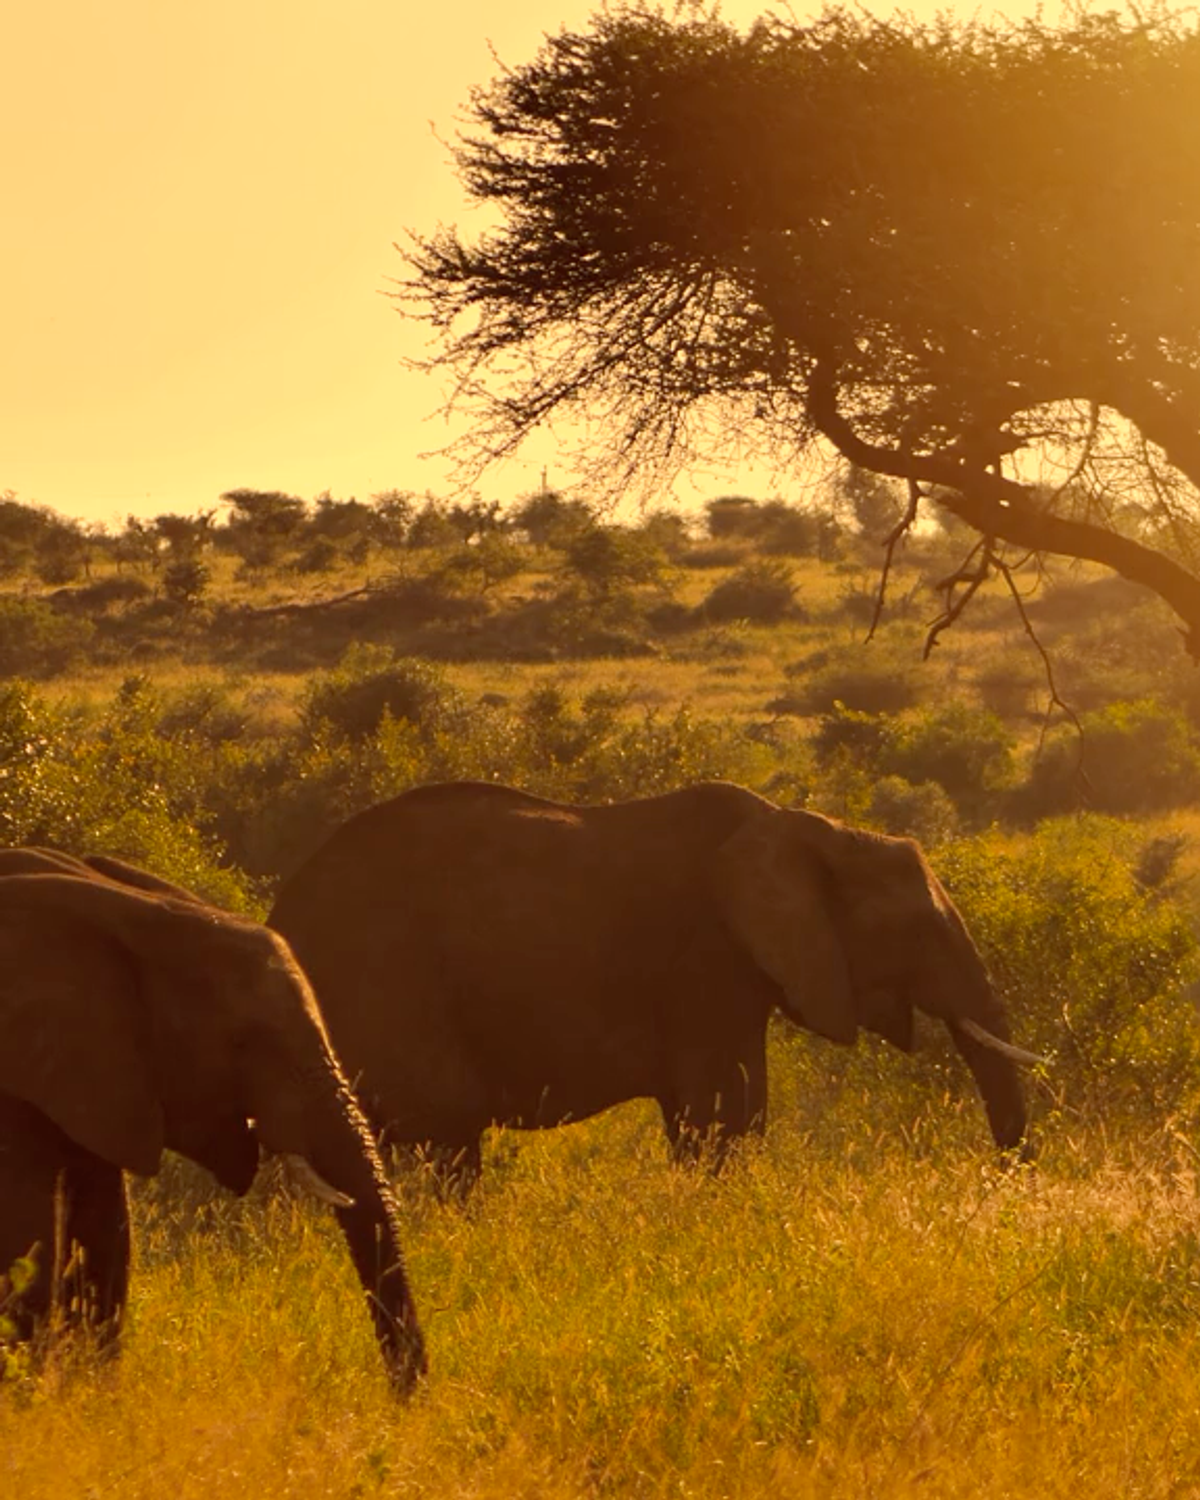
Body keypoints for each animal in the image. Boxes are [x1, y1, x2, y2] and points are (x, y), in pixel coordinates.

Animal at [268, 779, 1039, 1187]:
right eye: (917, 929)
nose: (1004, 1180)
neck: (810, 826)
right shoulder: (708, 961)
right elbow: (724, 1115)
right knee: (445, 1136)